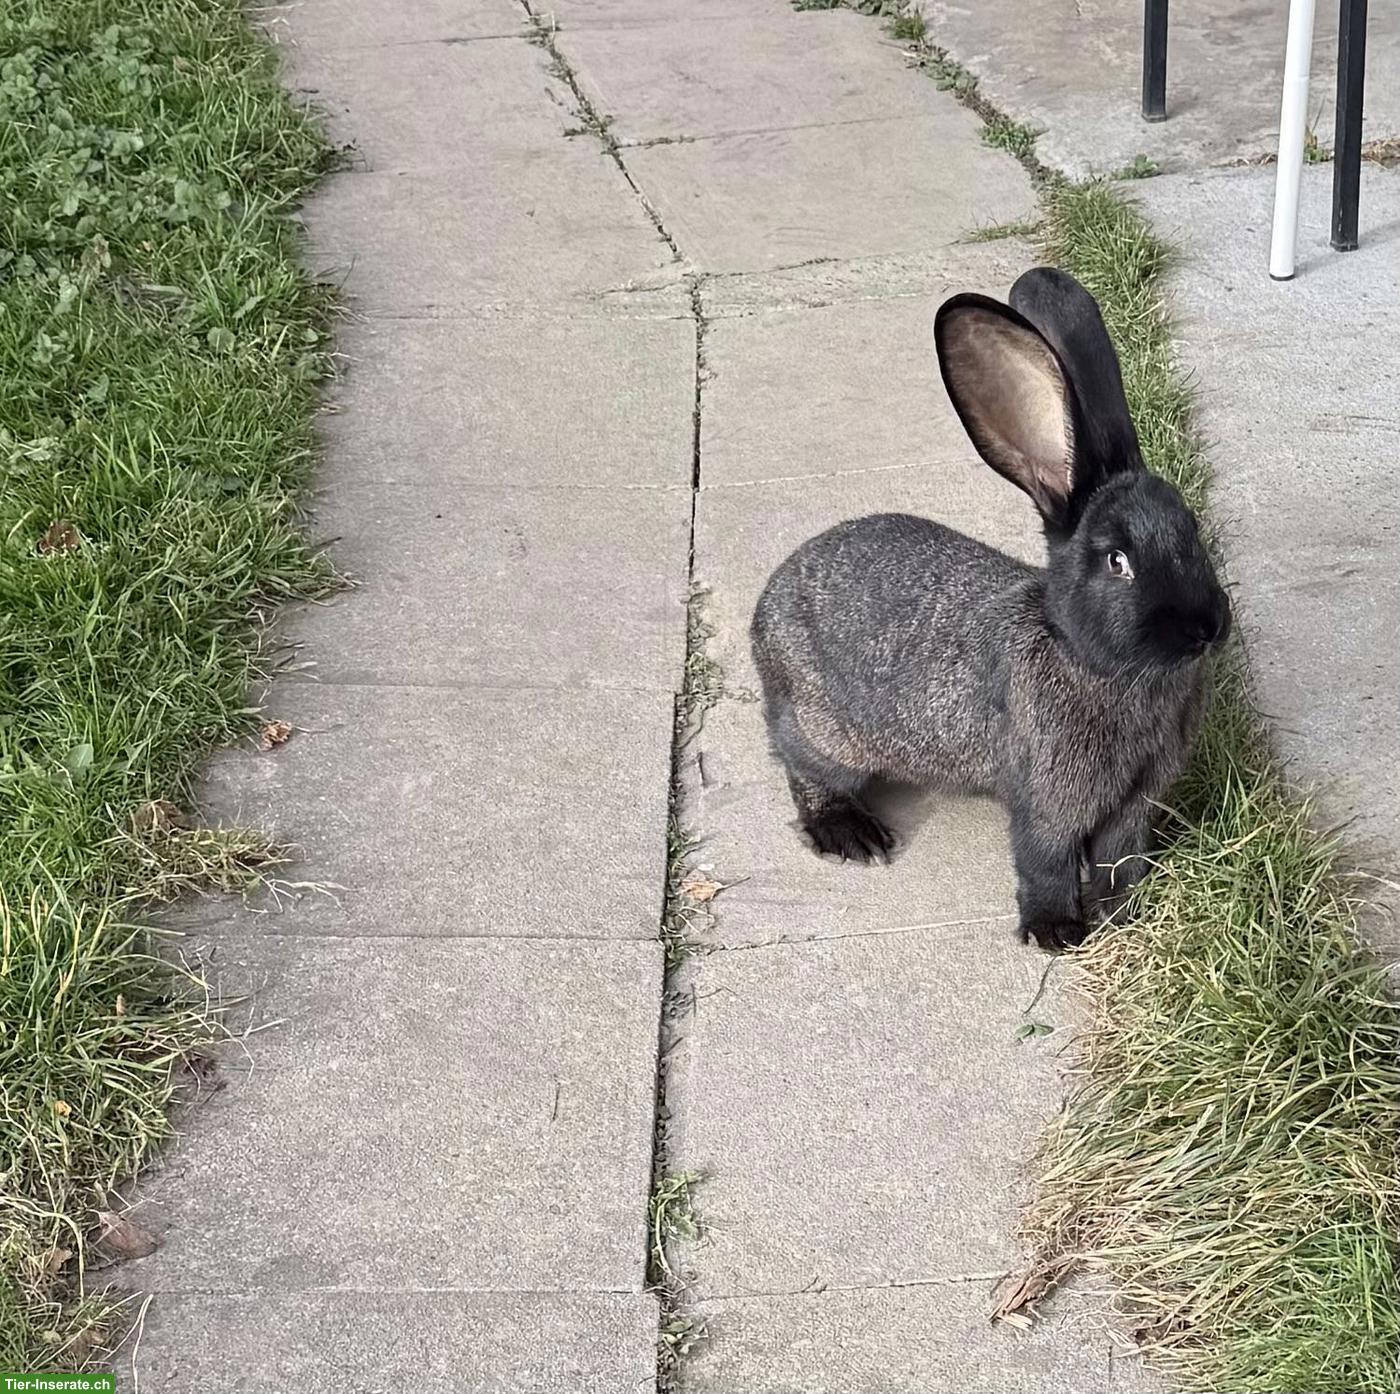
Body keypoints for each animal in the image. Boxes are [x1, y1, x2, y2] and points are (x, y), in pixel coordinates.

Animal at [750, 267, 1230, 951]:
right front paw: (1056, 932)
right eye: (1118, 561)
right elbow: (1043, 859)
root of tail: (766, 604)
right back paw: (852, 837)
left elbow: (1121, 858)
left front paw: (1123, 913)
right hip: (826, 732)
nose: (1206, 629)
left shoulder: (1136, 803)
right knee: (801, 767)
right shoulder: (1048, 798)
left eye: (1192, 531)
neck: (1084, 656)